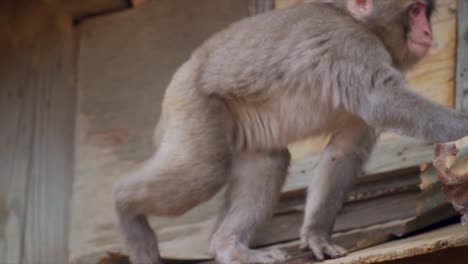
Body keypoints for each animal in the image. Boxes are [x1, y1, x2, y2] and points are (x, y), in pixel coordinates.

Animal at [113, 0, 468, 262]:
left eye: (425, 10)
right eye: (414, 10)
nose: (427, 30)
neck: (360, 23)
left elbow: (344, 152)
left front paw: (316, 237)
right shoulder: (350, 44)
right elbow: (384, 101)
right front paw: (464, 128)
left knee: (268, 162)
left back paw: (228, 245)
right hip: (190, 103)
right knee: (205, 170)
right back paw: (125, 206)